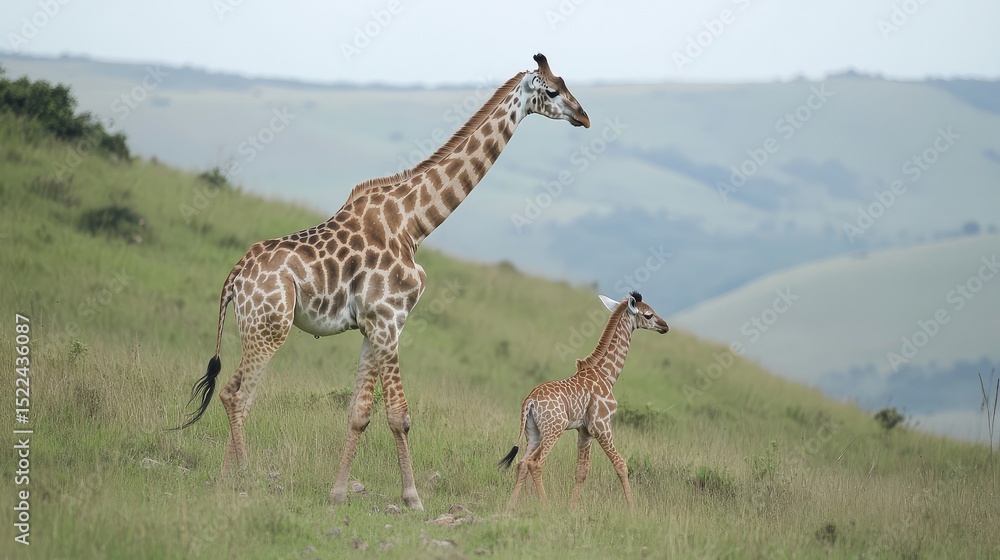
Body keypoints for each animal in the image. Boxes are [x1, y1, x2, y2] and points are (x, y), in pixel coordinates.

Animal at [176, 54, 590, 511]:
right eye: (551, 90)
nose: (584, 116)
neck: (414, 223)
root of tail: (234, 278)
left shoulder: (372, 326)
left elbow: (359, 413)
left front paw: (337, 493)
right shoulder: (389, 319)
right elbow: (398, 415)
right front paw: (413, 498)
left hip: (256, 327)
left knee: (238, 394)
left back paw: (224, 480)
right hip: (270, 326)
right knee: (235, 394)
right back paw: (246, 479)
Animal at [499, 291, 669, 509]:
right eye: (648, 314)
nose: (665, 326)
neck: (607, 374)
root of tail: (530, 401)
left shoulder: (585, 431)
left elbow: (582, 470)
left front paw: (572, 507)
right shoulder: (601, 425)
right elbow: (621, 464)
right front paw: (632, 509)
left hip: (533, 431)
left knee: (521, 463)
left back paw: (510, 505)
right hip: (554, 429)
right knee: (535, 463)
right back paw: (546, 505)